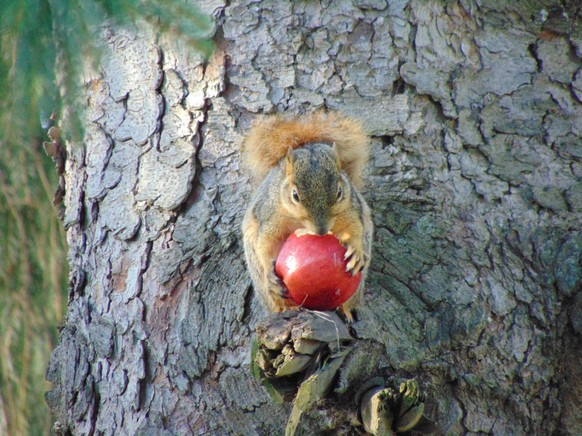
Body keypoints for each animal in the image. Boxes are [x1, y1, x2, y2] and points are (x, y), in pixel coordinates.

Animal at [242, 110, 374, 320]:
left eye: (339, 192)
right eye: (295, 195)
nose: (321, 231)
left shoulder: (350, 209)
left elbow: (353, 227)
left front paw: (356, 250)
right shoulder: (270, 216)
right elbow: (267, 243)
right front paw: (270, 273)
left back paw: (344, 309)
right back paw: (287, 308)